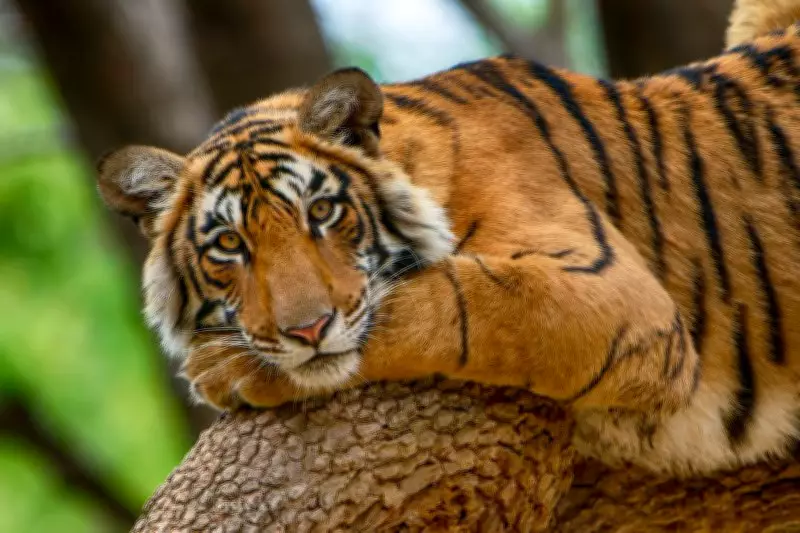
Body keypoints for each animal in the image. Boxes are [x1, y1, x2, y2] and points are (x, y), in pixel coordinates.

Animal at [96, 0, 800, 476]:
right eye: (229, 246)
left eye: (321, 211)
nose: (307, 330)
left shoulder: (616, 294)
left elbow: (450, 302)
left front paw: (227, 367)